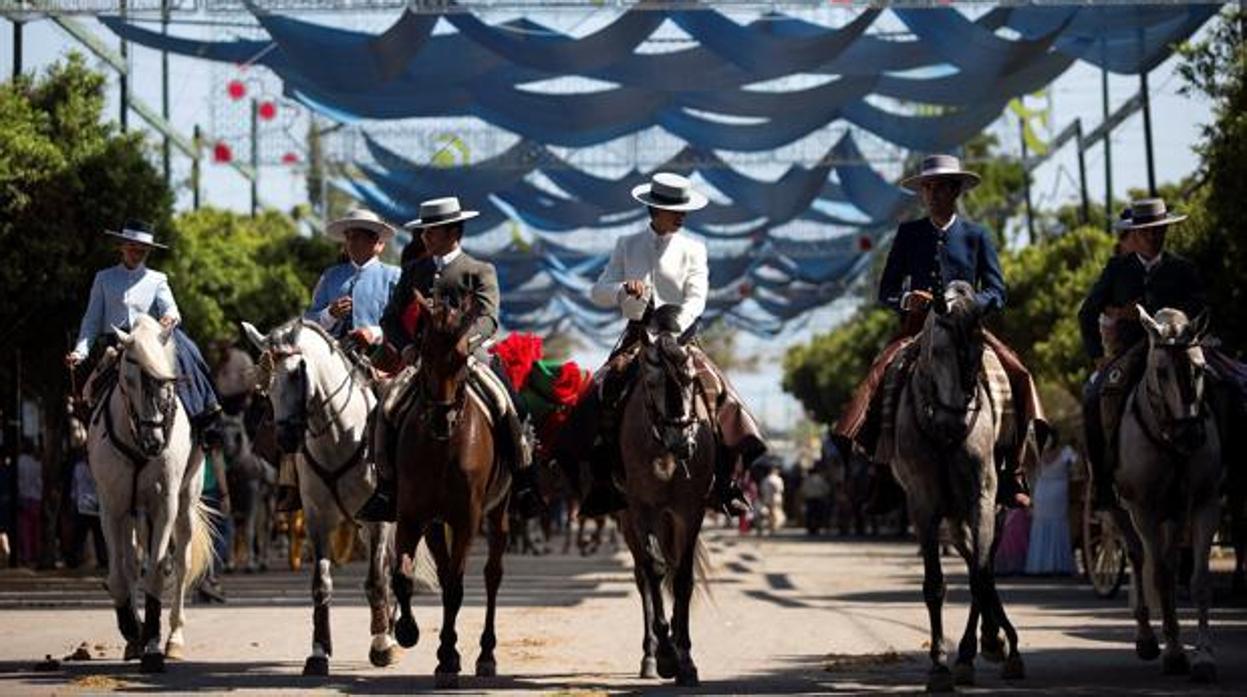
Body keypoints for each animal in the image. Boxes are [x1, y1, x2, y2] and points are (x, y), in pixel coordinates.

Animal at [86, 315, 213, 673]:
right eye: (128, 378)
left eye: (168, 382)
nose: (155, 443)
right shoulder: (112, 508)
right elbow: (118, 575)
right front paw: (133, 630)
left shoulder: (164, 506)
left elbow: (158, 571)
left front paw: (154, 646)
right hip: (132, 514)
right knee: (131, 564)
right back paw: (135, 638)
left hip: (185, 504)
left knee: (180, 563)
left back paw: (174, 639)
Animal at [241, 321, 399, 678]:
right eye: (265, 384)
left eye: (297, 373)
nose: (286, 438)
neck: (340, 436)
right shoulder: (317, 520)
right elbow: (321, 584)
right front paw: (318, 652)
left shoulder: (378, 519)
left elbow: (374, 580)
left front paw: (382, 645)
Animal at [386, 293, 508, 688]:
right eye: (423, 353)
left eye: (460, 357)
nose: (442, 419)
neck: (441, 447)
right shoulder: (411, 516)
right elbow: (403, 576)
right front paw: (408, 631)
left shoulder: (467, 518)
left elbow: (456, 587)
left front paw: (449, 658)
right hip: (436, 524)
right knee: (442, 570)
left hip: (498, 514)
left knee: (491, 575)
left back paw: (485, 655)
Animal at [613, 336, 713, 688]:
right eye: (652, 382)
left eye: (691, 379)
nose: (681, 441)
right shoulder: (642, 510)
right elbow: (655, 570)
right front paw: (668, 655)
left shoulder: (691, 512)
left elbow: (683, 578)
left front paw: (686, 661)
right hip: (629, 521)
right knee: (643, 575)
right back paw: (650, 656)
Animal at [1117, 307, 1222, 683]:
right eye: (1161, 371)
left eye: (1200, 368)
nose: (1190, 435)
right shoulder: (1143, 508)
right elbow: (1159, 575)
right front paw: (1175, 653)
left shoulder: (1205, 502)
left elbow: (1199, 579)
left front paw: (1203, 656)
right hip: (1120, 510)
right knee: (1139, 559)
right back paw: (1148, 637)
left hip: (1174, 515)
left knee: (1169, 559)